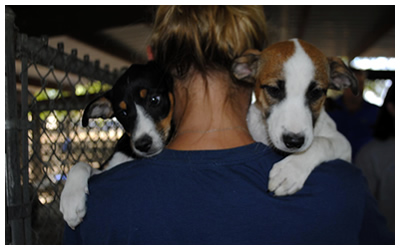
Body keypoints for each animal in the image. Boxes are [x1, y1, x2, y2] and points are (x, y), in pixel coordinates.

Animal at [60, 61, 173, 228]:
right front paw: (71, 199)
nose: (142, 144)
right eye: (123, 113)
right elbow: (80, 165)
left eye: (155, 100)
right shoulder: (107, 169)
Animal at [233, 38, 358, 195]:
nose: (294, 142)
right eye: (273, 90)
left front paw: (290, 170)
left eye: (316, 93)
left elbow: (322, 142)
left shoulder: (343, 143)